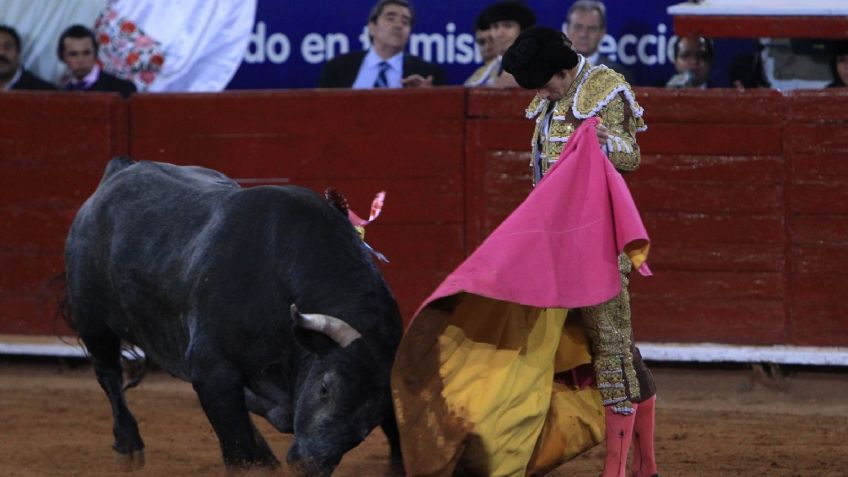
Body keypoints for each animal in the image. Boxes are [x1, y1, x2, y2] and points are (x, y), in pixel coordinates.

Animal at [64, 158, 402, 474]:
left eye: (372, 418)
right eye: (324, 388)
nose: (309, 464)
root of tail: (120, 170)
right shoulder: (212, 368)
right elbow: (237, 450)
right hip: (93, 321)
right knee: (109, 375)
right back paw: (129, 446)